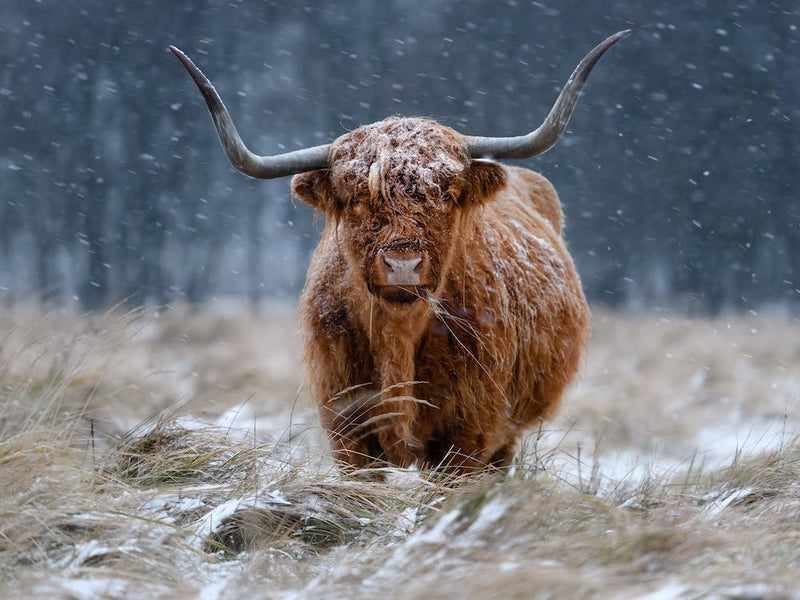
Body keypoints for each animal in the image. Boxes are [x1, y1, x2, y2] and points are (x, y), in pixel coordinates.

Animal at [170, 30, 629, 474]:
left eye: (445, 194)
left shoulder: (469, 432)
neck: (398, 336)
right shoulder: (347, 427)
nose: (403, 265)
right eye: (356, 199)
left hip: (507, 432)